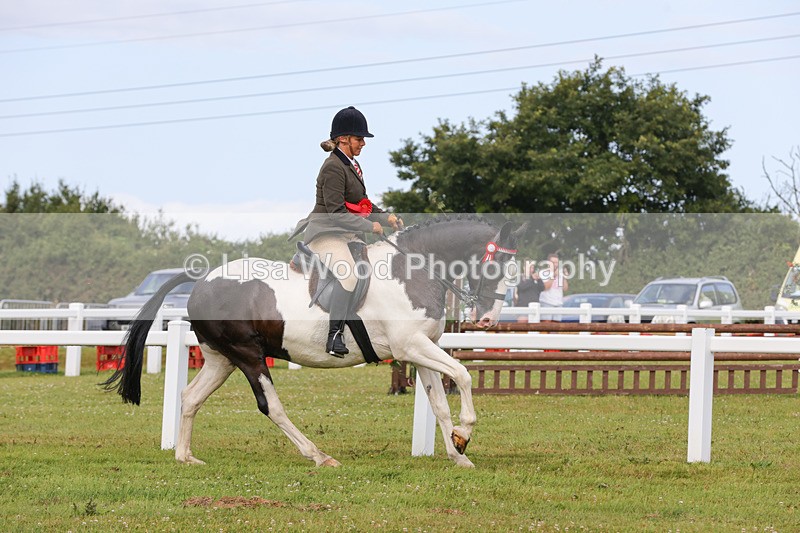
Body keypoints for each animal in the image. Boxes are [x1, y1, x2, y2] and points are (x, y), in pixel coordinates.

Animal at [104, 215, 523, 468]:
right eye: (497, 266)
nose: (488, 319)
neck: (412, 268)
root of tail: (203, 278)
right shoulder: (412, 347)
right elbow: (463, 375)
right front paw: (465, 434)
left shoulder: (422, 351)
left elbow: (439, 403)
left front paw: (457, 453)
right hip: (248, 355)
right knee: (270, 406)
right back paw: (319, 456)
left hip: (221, 359)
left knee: (191, 397)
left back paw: (185, 456)